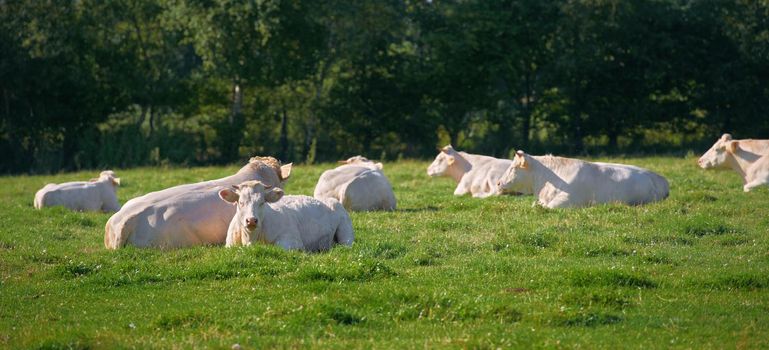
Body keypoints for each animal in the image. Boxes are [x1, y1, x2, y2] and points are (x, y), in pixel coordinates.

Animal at [219, 180, 354, 252]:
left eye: (262, 202)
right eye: (241, 202)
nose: (251, 220)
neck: (250, 239)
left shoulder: (293, 241)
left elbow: (279, 246)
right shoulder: (229, 245)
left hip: (346, 233)